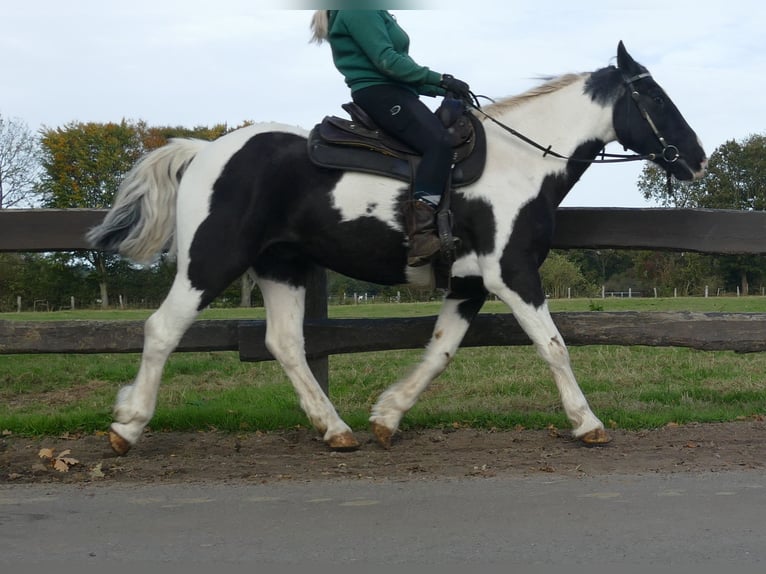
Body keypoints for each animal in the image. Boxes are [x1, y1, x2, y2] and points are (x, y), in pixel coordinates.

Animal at [88, 40, 708, 456]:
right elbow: (554, 346)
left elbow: (439, 352)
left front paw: (387, 416)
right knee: (163, 330)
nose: (698, 157)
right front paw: (587, 423)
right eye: (653, 96)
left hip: (281, 266)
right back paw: (127, 426)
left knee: (285, 343)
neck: (522, 162)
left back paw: (335, 429)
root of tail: (204, 151)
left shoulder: (468, 284)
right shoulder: (511, 273)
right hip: (212, 261)